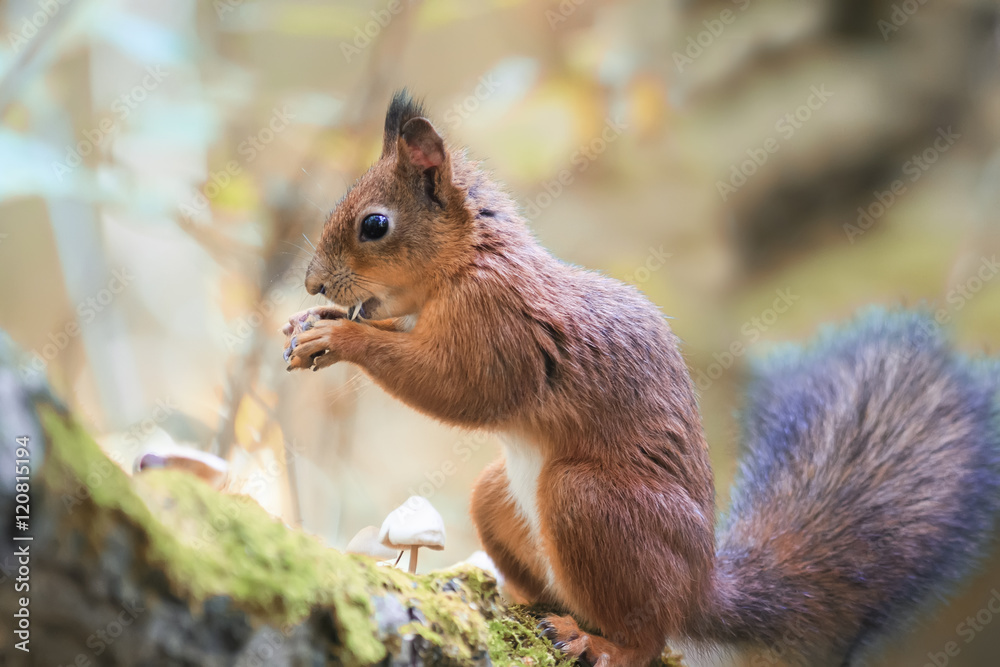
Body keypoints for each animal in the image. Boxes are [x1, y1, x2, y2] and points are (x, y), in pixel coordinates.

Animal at [282, 90, 1000, 667]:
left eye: (375, 225)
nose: (313, 283)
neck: (468, 262)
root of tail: (701, 586)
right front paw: (312, 321)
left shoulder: (500, 326)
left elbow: (463, 390)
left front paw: (339, 337)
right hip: (497, 495)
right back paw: (503, 591)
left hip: (589, 501)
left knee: (647, 635)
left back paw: (598, 642)